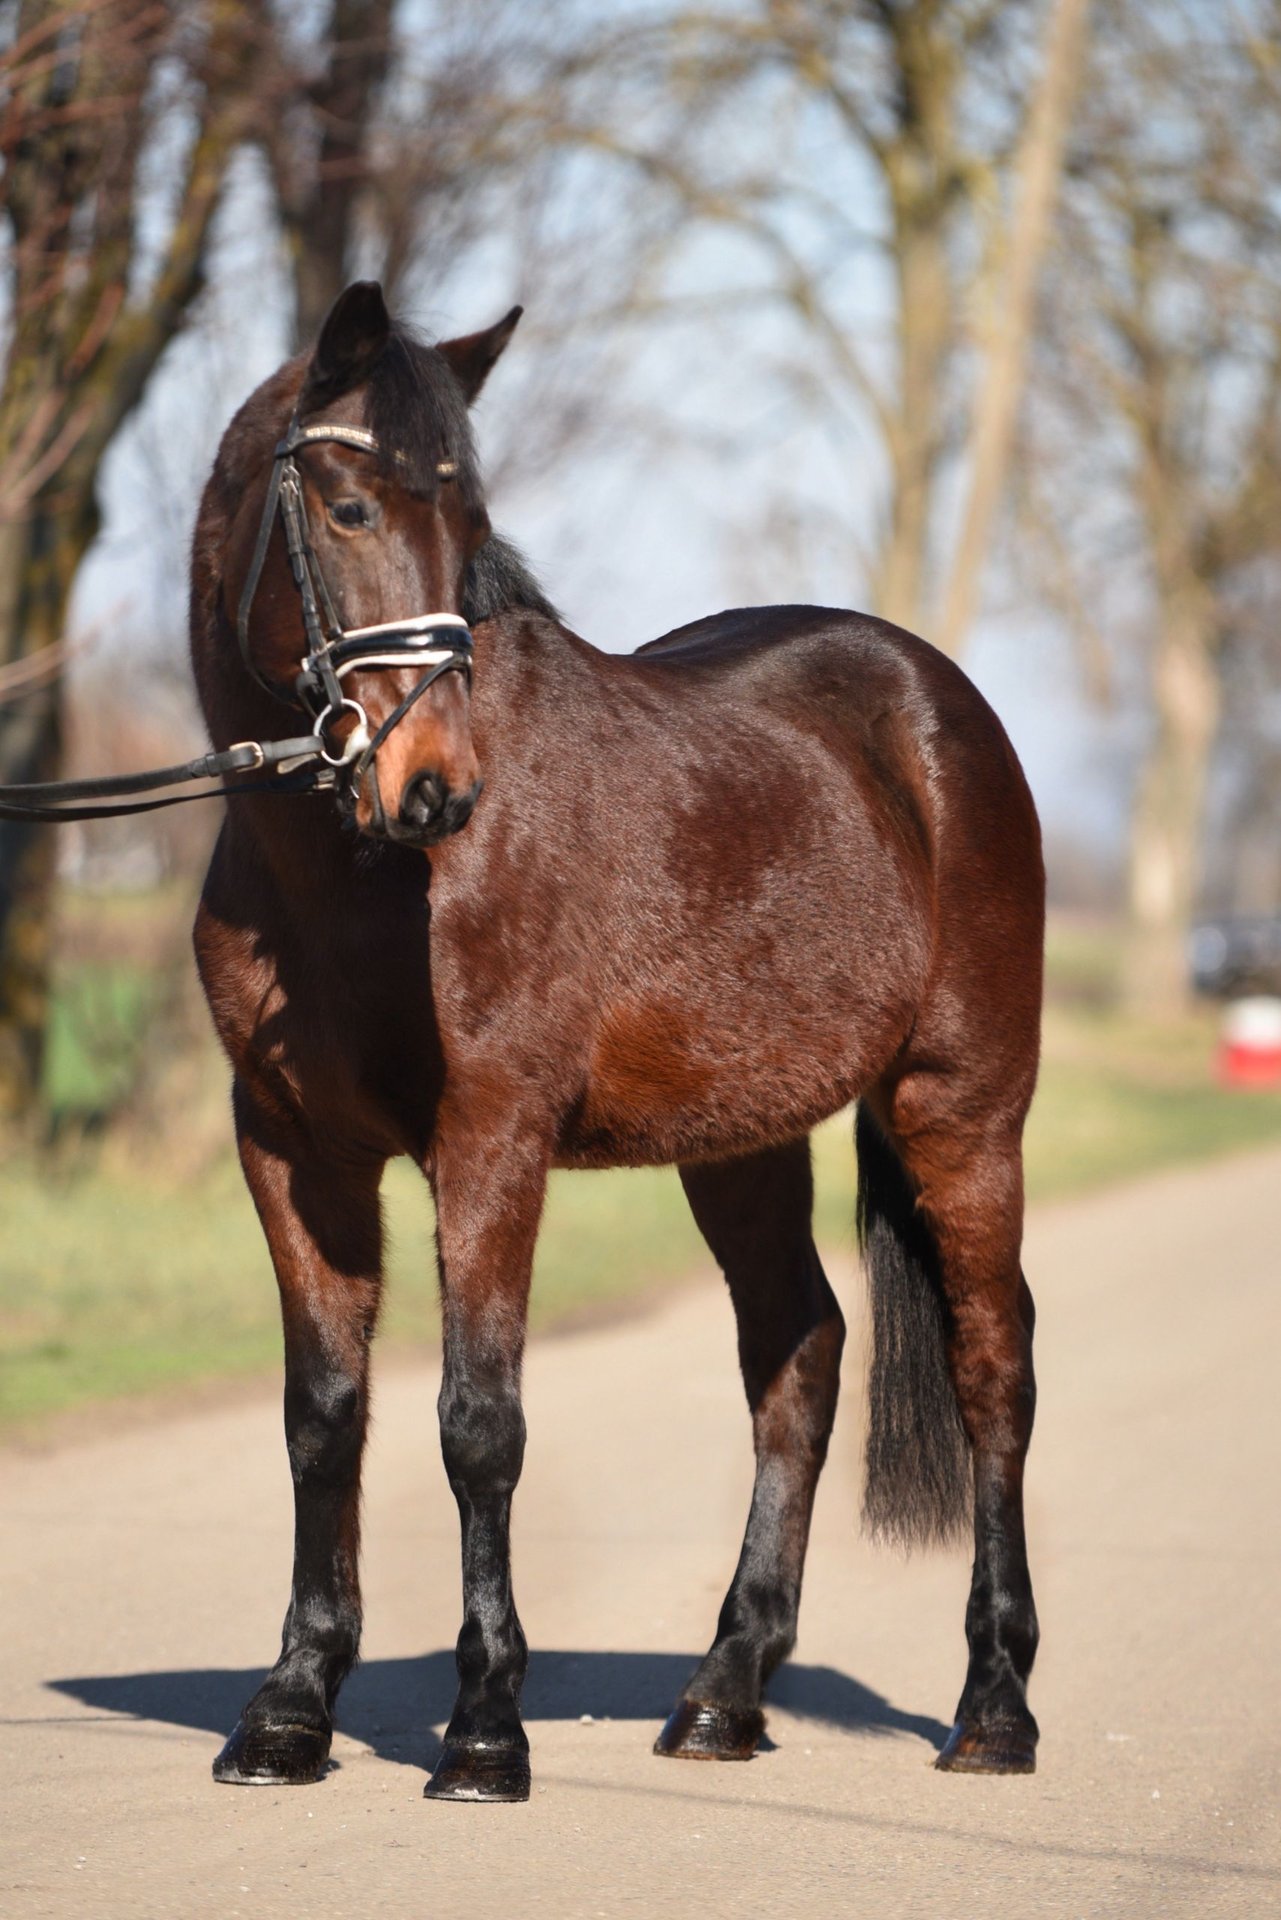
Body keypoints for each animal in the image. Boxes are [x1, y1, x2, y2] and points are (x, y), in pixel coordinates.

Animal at [195, 284, 1044, 1797]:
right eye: (347, 506)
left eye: (470, 527)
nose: (436, 788)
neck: (347, 878)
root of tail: (936, 705)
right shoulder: (291, 1151)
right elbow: (323, 1415)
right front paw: (289, 1709)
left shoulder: (489, 1140)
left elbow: (479, 1424)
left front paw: (484, 1728)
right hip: (744, 1141)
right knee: (800, 1354)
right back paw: (724, 1692)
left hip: (963, 1112)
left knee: (993, 1364)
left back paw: (994, 1706)